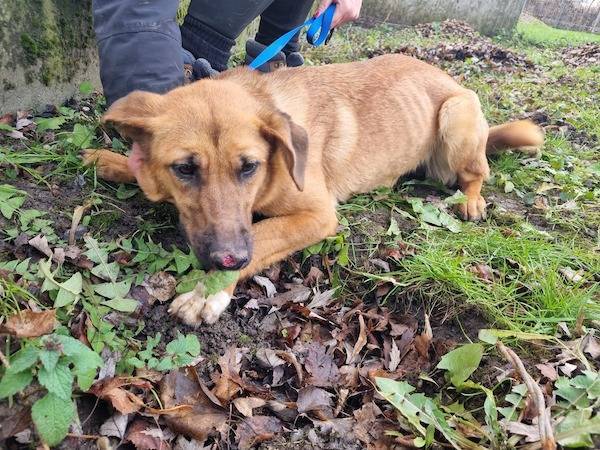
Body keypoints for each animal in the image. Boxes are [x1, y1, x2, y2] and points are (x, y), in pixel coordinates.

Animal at [83, 54, 543, 326]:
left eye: (249, 167)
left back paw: (472, 199)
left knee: (477, 172)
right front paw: (111, 161)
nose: (227, 258)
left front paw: (207, 291)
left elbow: (262, 233)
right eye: (184, 169)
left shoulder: (316, 215)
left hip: (456, 117)